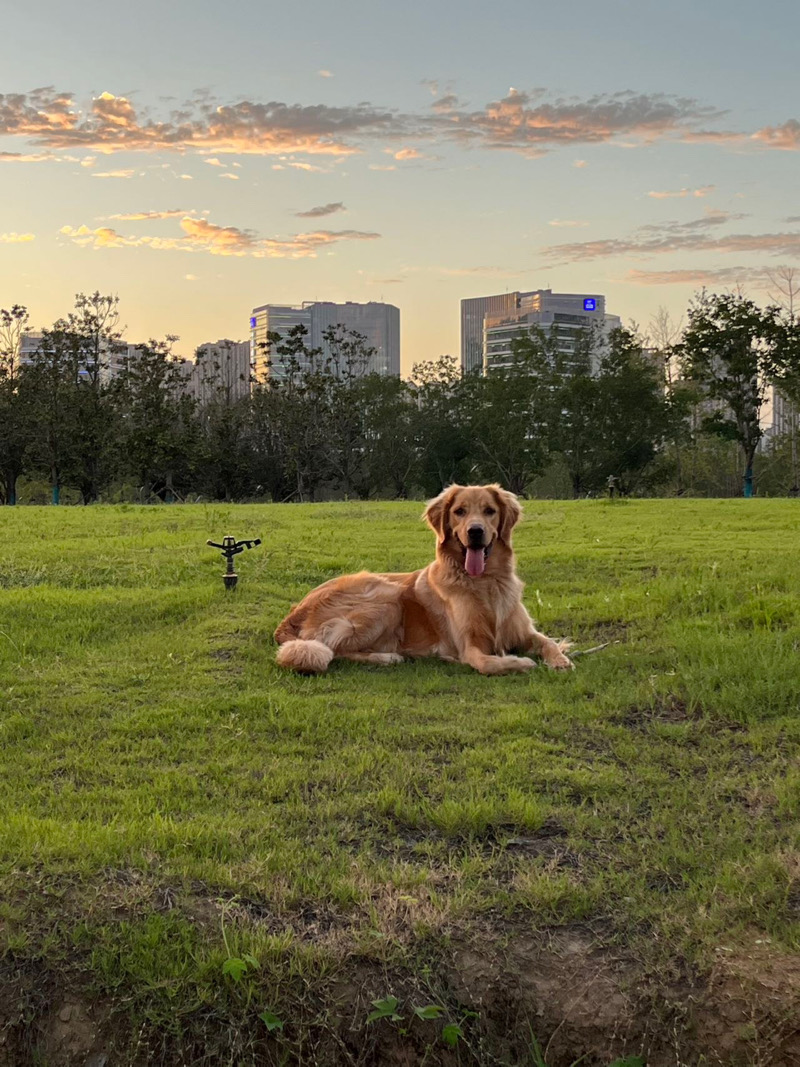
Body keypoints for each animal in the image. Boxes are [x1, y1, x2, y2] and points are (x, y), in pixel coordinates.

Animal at [277, 484, 576, 674]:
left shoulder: (523, 631)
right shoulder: (470, 646)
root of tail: (294, 612)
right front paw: (522, 662)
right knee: (330, 649)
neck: (486, 583)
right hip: (387, 596)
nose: (475, 531)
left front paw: (561, 661)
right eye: (459, 511)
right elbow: (487, 664)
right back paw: (387, 656)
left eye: (490, 511)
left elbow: (548, 642)